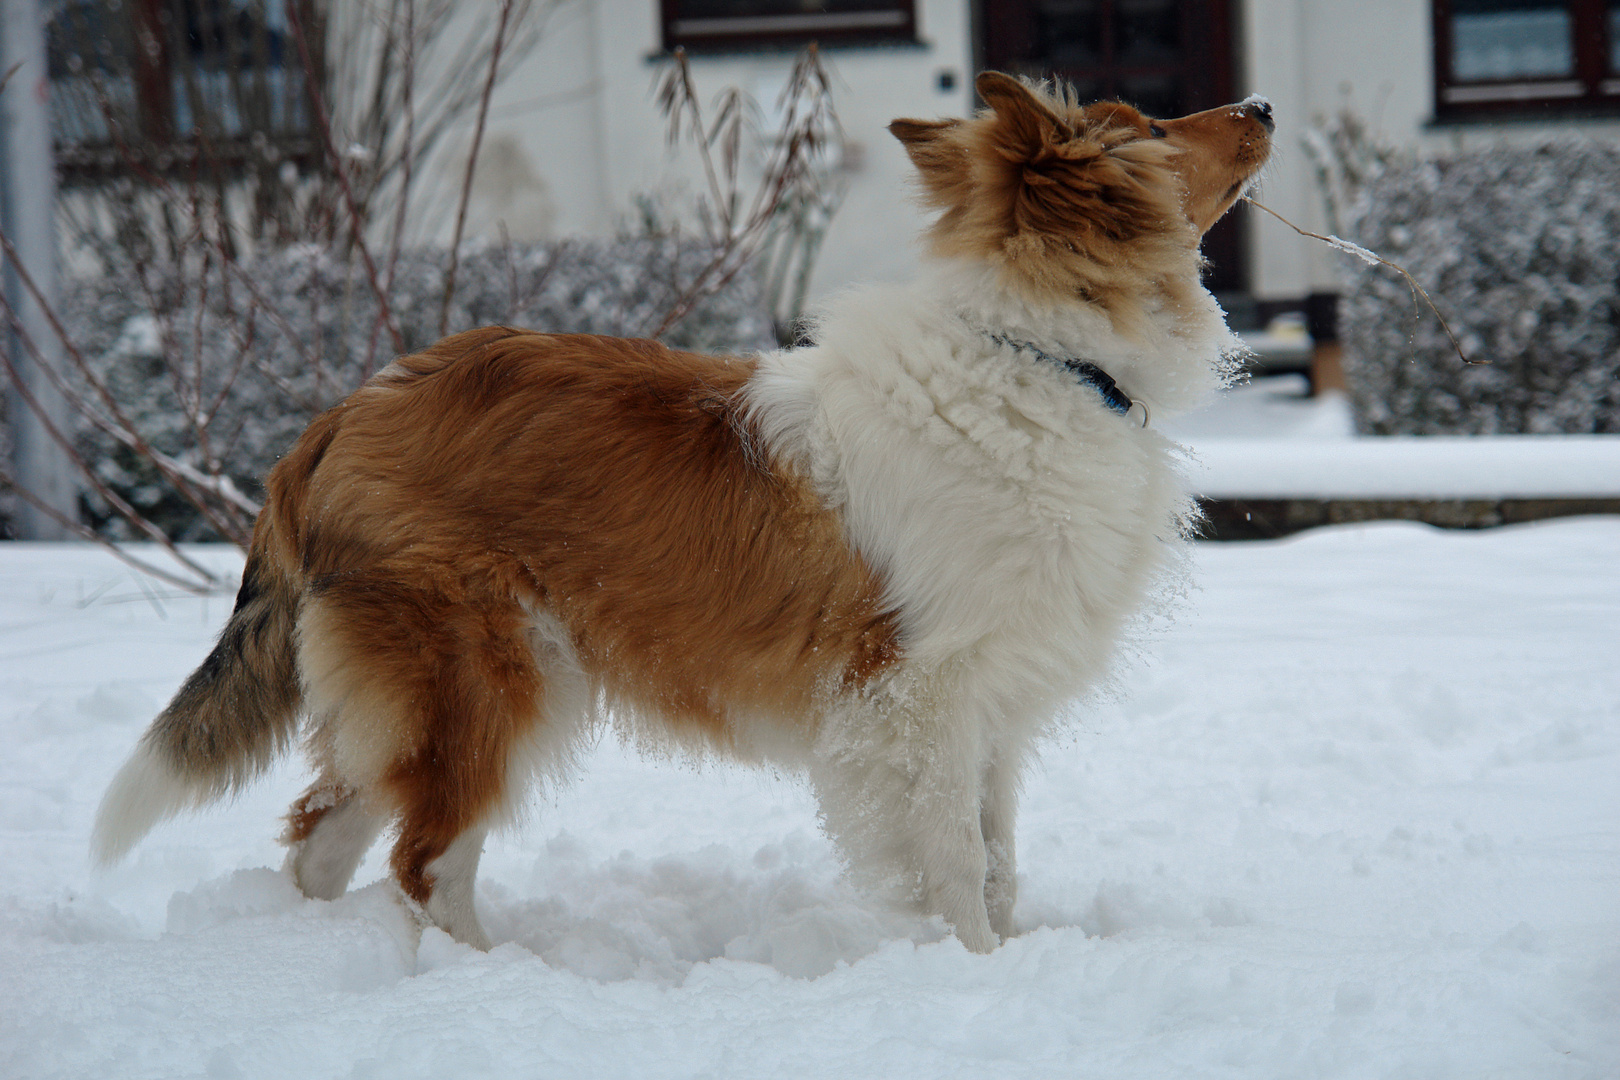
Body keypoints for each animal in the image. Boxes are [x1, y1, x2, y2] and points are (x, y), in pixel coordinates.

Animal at [94, 78, 1270, 952]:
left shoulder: (992, 704)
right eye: (1152, 128)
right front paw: (972, 970)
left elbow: (1000, 860)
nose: (1260, 105)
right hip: (488, 680)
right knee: (422, 862)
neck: (1036, 359)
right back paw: (497, 979)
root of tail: (337, 416)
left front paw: (1012, 958)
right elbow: (954, 861)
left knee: (324, 840)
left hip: (438, 688)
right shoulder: (916, 697)